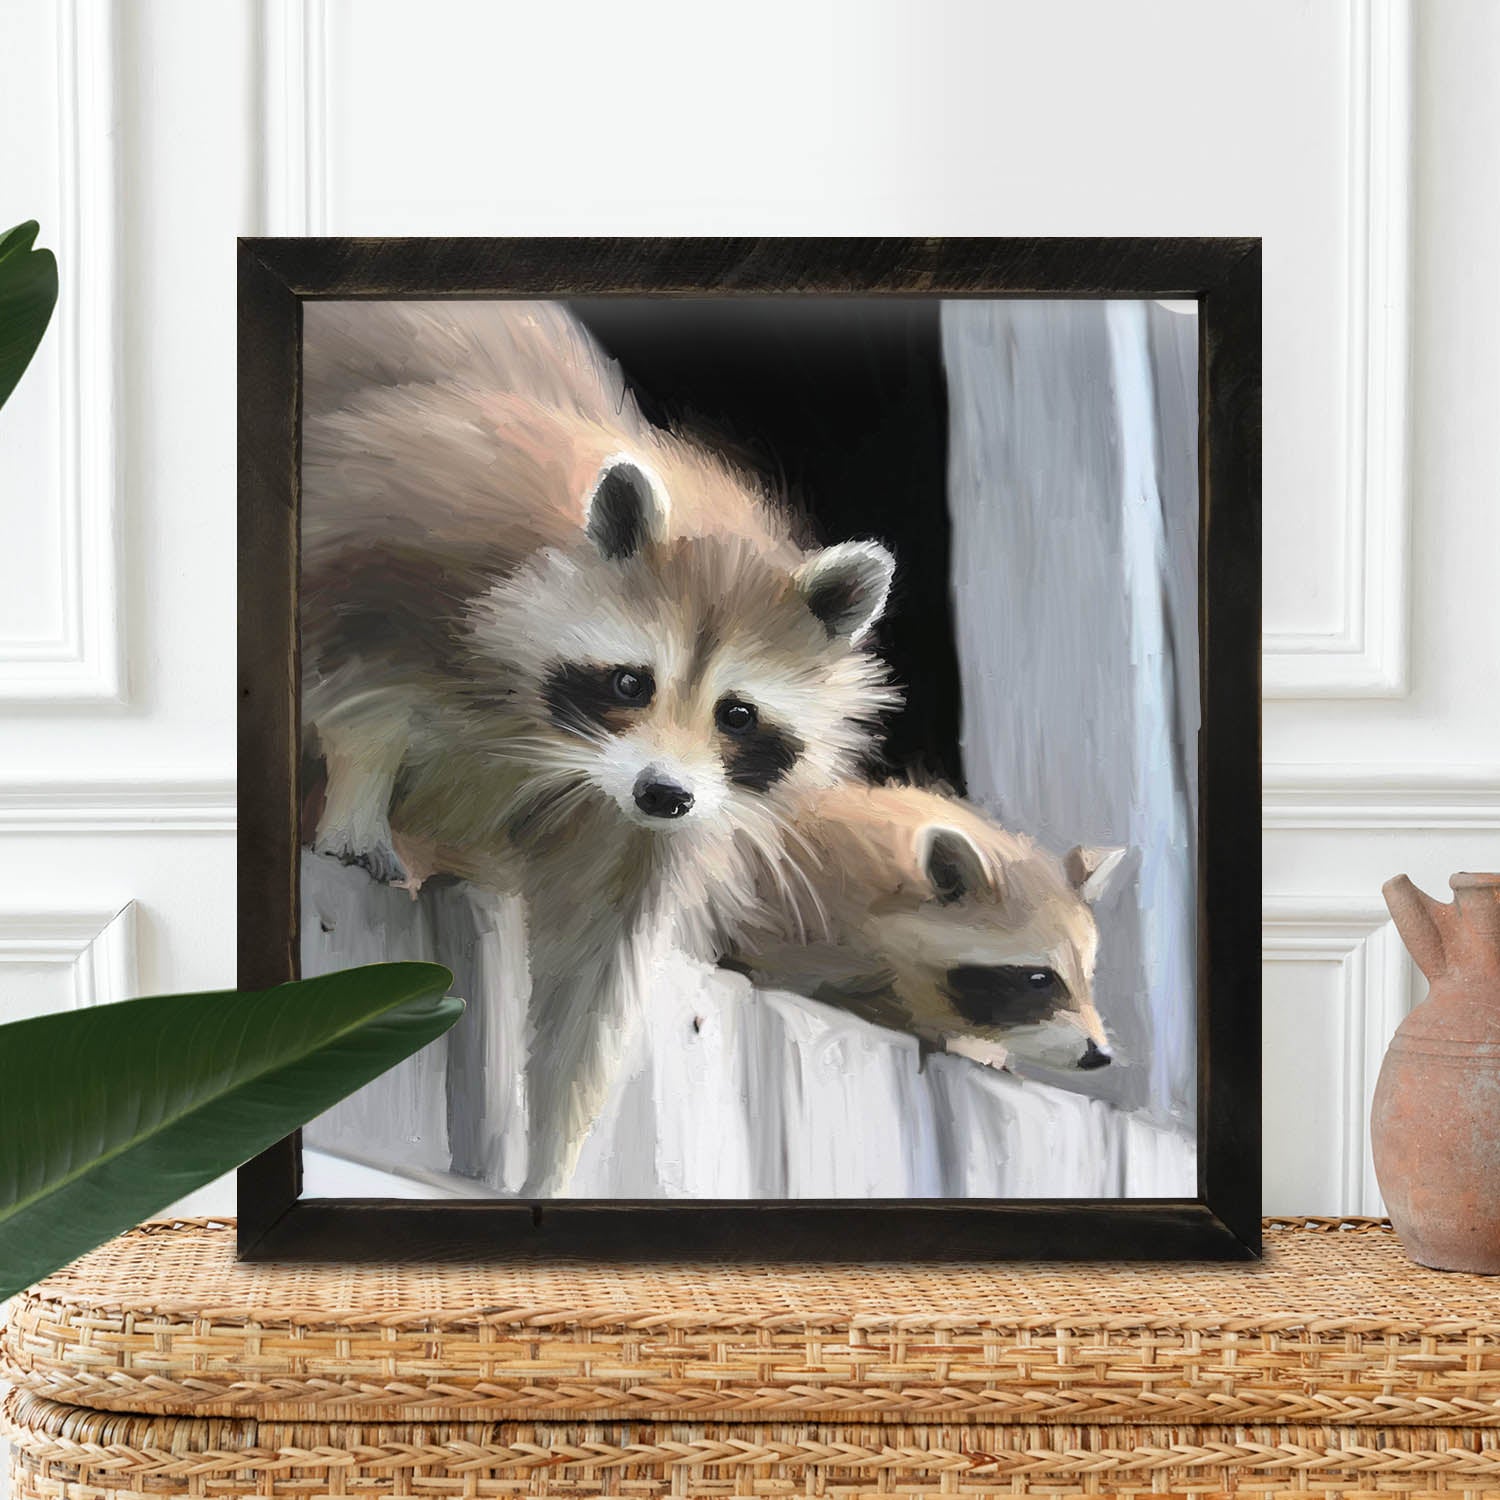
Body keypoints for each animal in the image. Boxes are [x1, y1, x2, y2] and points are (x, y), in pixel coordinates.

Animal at [300, 300, 899, 1193]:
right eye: (629, 683)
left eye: (738, 715)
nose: (664, 792)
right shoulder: (398, 542)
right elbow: (361, 689)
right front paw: (359, 794)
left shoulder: (639, 825)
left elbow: (593, 972)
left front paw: (554, 1155)